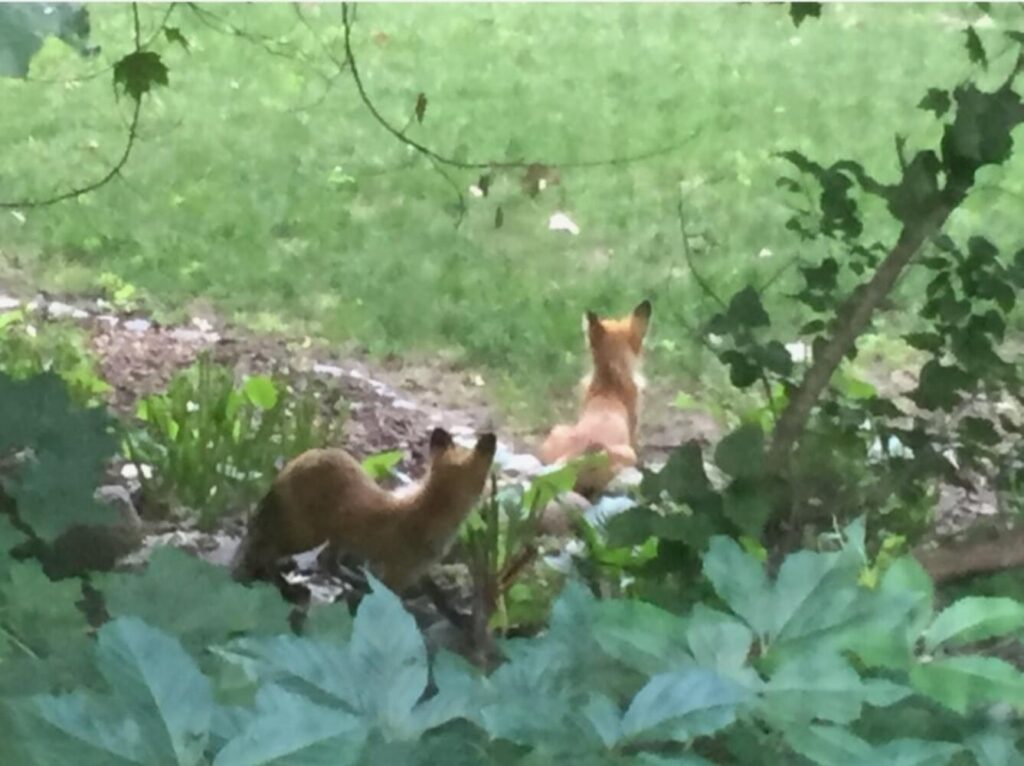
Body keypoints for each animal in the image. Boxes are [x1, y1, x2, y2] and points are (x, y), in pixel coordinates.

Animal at [231, 427, 497, 593]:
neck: (430, 510)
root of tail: (292, 465)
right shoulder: (398, 575)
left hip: (336, 537)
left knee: (324, 561)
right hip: (304, 536)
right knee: (263, 551)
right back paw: (275, 582)